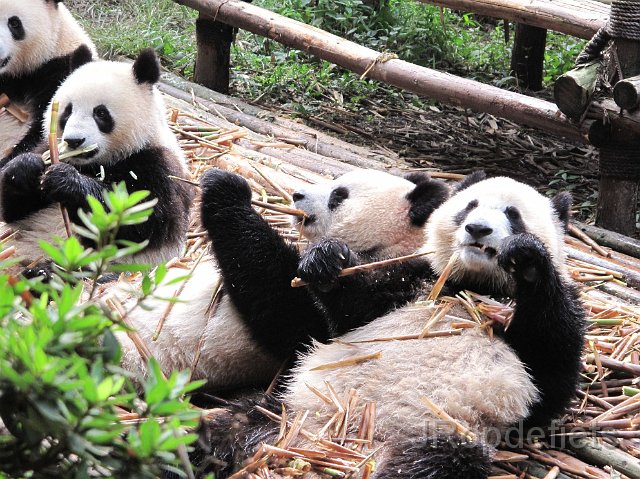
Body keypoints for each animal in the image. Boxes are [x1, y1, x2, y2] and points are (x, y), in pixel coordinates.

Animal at [0, 49, 194, 266]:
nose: (74, 140)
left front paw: (65, 180)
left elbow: (138, 222)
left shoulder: (158, 167)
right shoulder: (49, 147)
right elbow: (13, 212)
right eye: (68, 111)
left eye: (100, 113)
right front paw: (25, 168)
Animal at [190, 171, 586, 479]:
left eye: (513, 214)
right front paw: (326, 262)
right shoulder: (411, 281)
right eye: (469, 207)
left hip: (435, 436)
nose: (477, 229)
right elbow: (342, 317)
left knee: (429, 465)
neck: (472, 285)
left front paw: (528, 260)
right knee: (218, 427)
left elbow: (551, 379)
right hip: (285, 409)